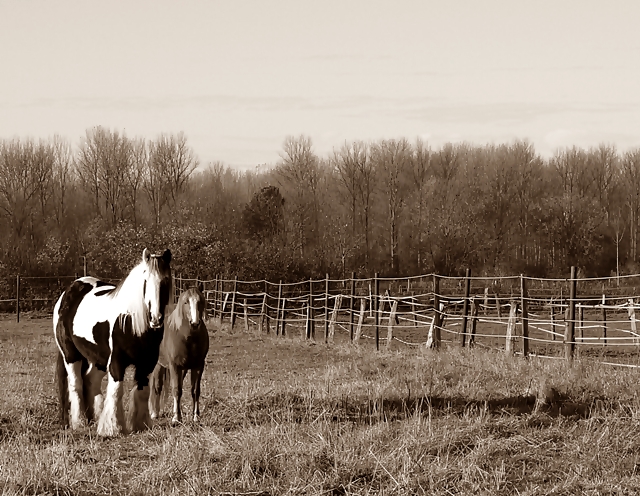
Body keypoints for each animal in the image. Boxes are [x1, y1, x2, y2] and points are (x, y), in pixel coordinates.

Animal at [53, 250, 171, 436]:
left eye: (165, 281)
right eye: (145, 281)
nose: (155, 318)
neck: (129, 321)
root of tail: (68, 293)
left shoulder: (147, 363)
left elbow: (142, 392)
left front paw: (140, 425)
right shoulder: (116, 362)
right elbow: (116, 391)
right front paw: (113, 428)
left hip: (98, 359)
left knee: (90, 381)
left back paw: (93, 418)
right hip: (71, 355)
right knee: (75, 384)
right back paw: (79, 422)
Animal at [149, 284, 209, 424]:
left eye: (200, 301)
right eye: (186, 302)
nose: (195, 323)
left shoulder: (198, 366)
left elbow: (195, 390)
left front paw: (196, 416)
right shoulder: (174, 366)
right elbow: (176, 390)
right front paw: (176, 418)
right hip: (159, 365)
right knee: (157, 386)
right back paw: (155, 413)